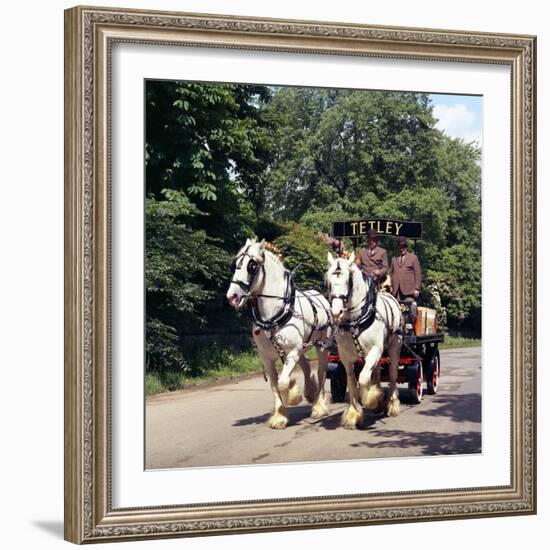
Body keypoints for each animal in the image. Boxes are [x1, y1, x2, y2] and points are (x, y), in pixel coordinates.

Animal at [227, 239, 334, 430]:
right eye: (235, 264)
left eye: (252, 266)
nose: (232, 296)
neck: (274, 314)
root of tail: (321, 297)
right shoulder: (267, 357)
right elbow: (274, 384)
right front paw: (279, 416)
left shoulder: (292, 351)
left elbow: (283, 382)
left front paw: (292, 397)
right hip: (301, 347)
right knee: (306, 365)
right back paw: (310, 393)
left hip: (322, 346)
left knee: (322, 372)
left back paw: (318, 406)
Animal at [328, 252, 406, 430]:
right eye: (329, 280)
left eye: (347, 280)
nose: (336, 312)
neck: (355, 321)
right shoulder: (345, 357)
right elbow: (352, 381)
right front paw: (353, 414)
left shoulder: (375, 350)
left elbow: (363, 378)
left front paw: (372, 400)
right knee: (376, 371)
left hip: (394, 347)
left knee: (392, 374)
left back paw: (391, 404)